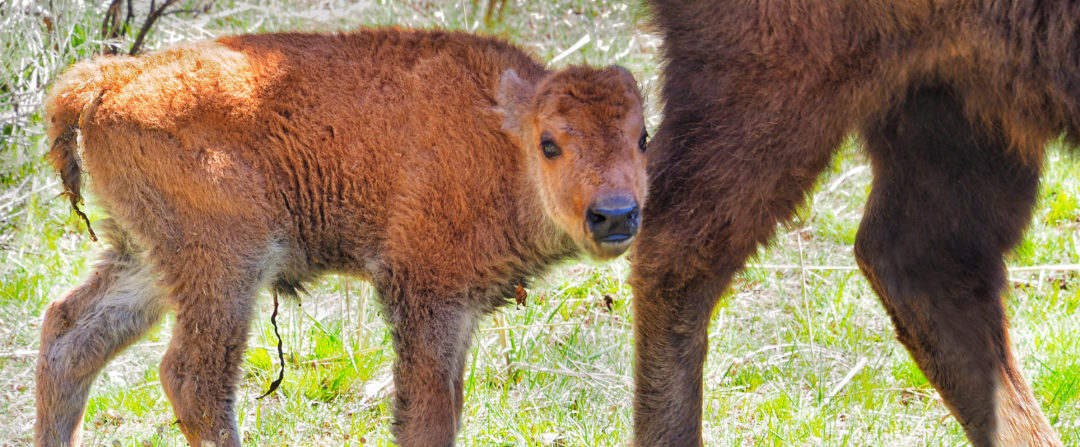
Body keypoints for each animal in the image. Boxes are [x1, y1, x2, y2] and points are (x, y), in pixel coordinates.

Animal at [35, 28, 648, 447]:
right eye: (551, 144)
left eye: (642, 137)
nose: (616, 216)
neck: (501, 136)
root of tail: (114, 80)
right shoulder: (428, 297)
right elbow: (429, 416)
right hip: (226, 267)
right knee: (193, 378)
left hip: (147, 255)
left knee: (70, 335)